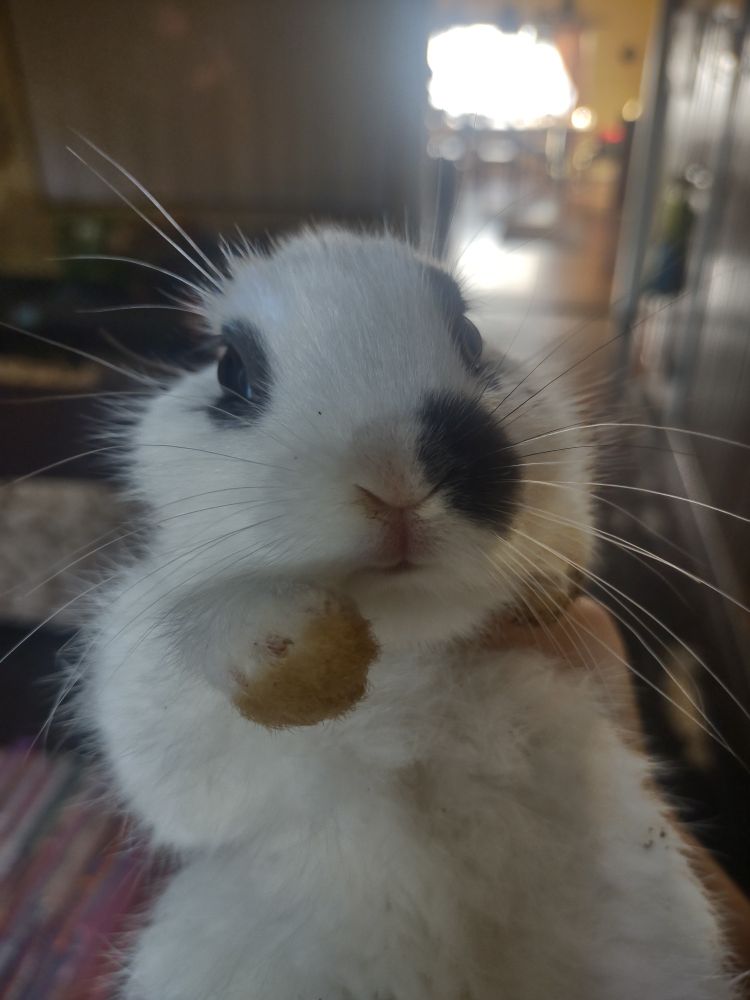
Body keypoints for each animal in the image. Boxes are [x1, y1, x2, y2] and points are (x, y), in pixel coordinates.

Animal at [80, 227, 735, 999]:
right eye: (229, 370)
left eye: (474, 337)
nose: (393, 470)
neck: (409, 640)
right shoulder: (166, 727)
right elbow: (178, 684)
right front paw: (287, 643)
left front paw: (547, 580)